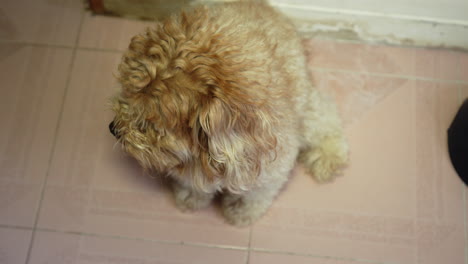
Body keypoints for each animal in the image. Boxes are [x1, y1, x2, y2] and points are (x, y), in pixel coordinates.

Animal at [108, 1, 346, 226]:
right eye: (127, 92)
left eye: (150, 125)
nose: (113, 129)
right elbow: (192, 181)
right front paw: (191, 196)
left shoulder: (273, 163)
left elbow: (255, 194)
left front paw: (240, 212)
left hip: (307, 108)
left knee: (328, 121)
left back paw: (329, 158)